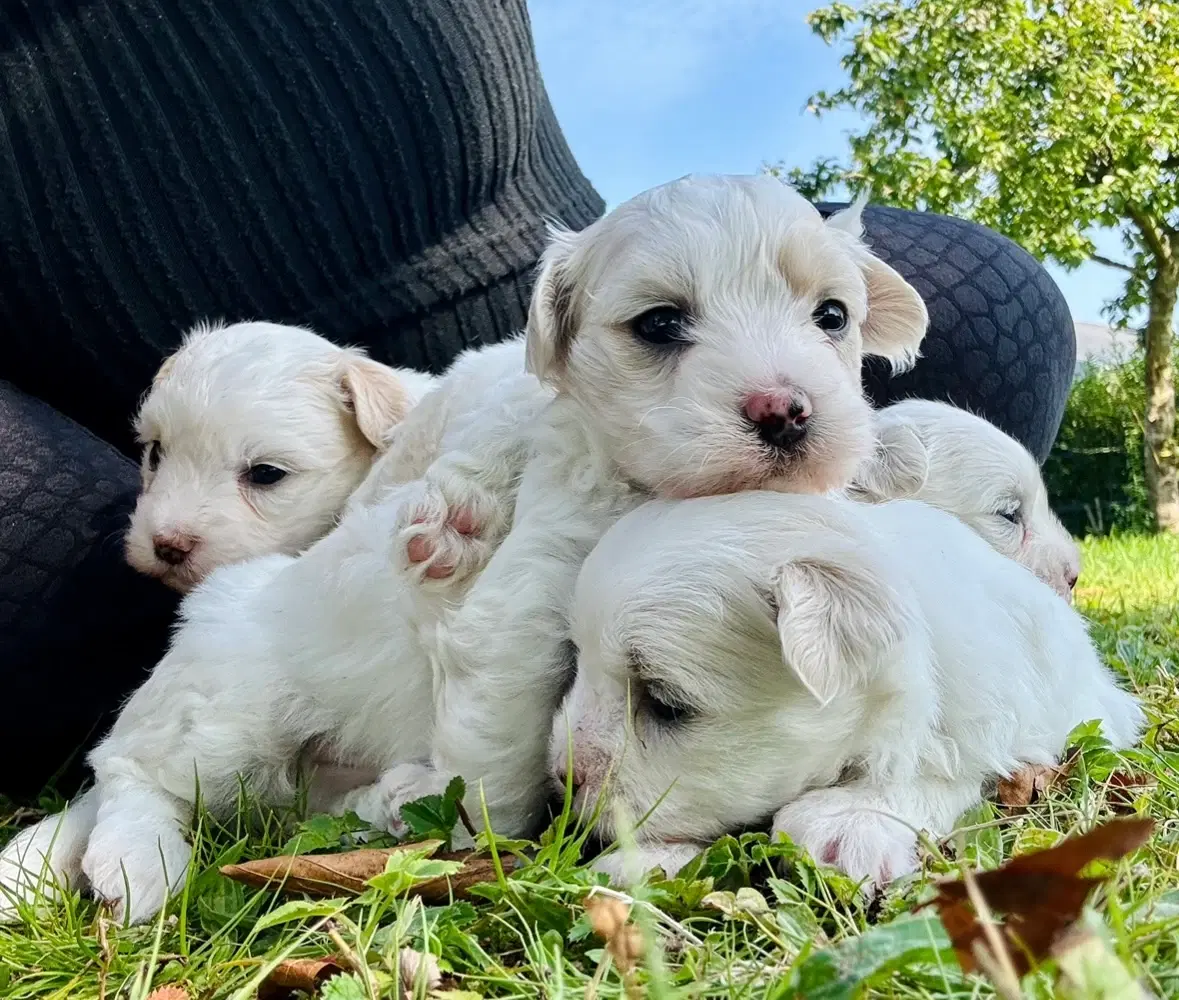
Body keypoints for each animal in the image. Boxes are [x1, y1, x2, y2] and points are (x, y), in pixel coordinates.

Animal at [551, 492, 1141, 882]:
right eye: (575, 662)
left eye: (666, 703)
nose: (561, 779)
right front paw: (644, 859)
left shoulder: (989, 717)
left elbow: (934, 764)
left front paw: (846, 822)